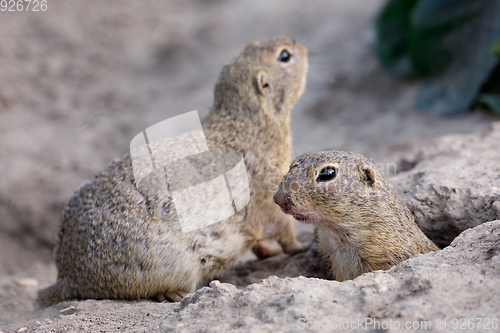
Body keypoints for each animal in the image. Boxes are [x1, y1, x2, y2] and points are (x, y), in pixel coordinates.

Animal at [35, 36, 306, 306]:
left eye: (252, 45)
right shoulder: (270, 190)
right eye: (284, 56)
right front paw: (300, 246)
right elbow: (284, 230)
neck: (249, 121)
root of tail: (69, 277)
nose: (299, 44)